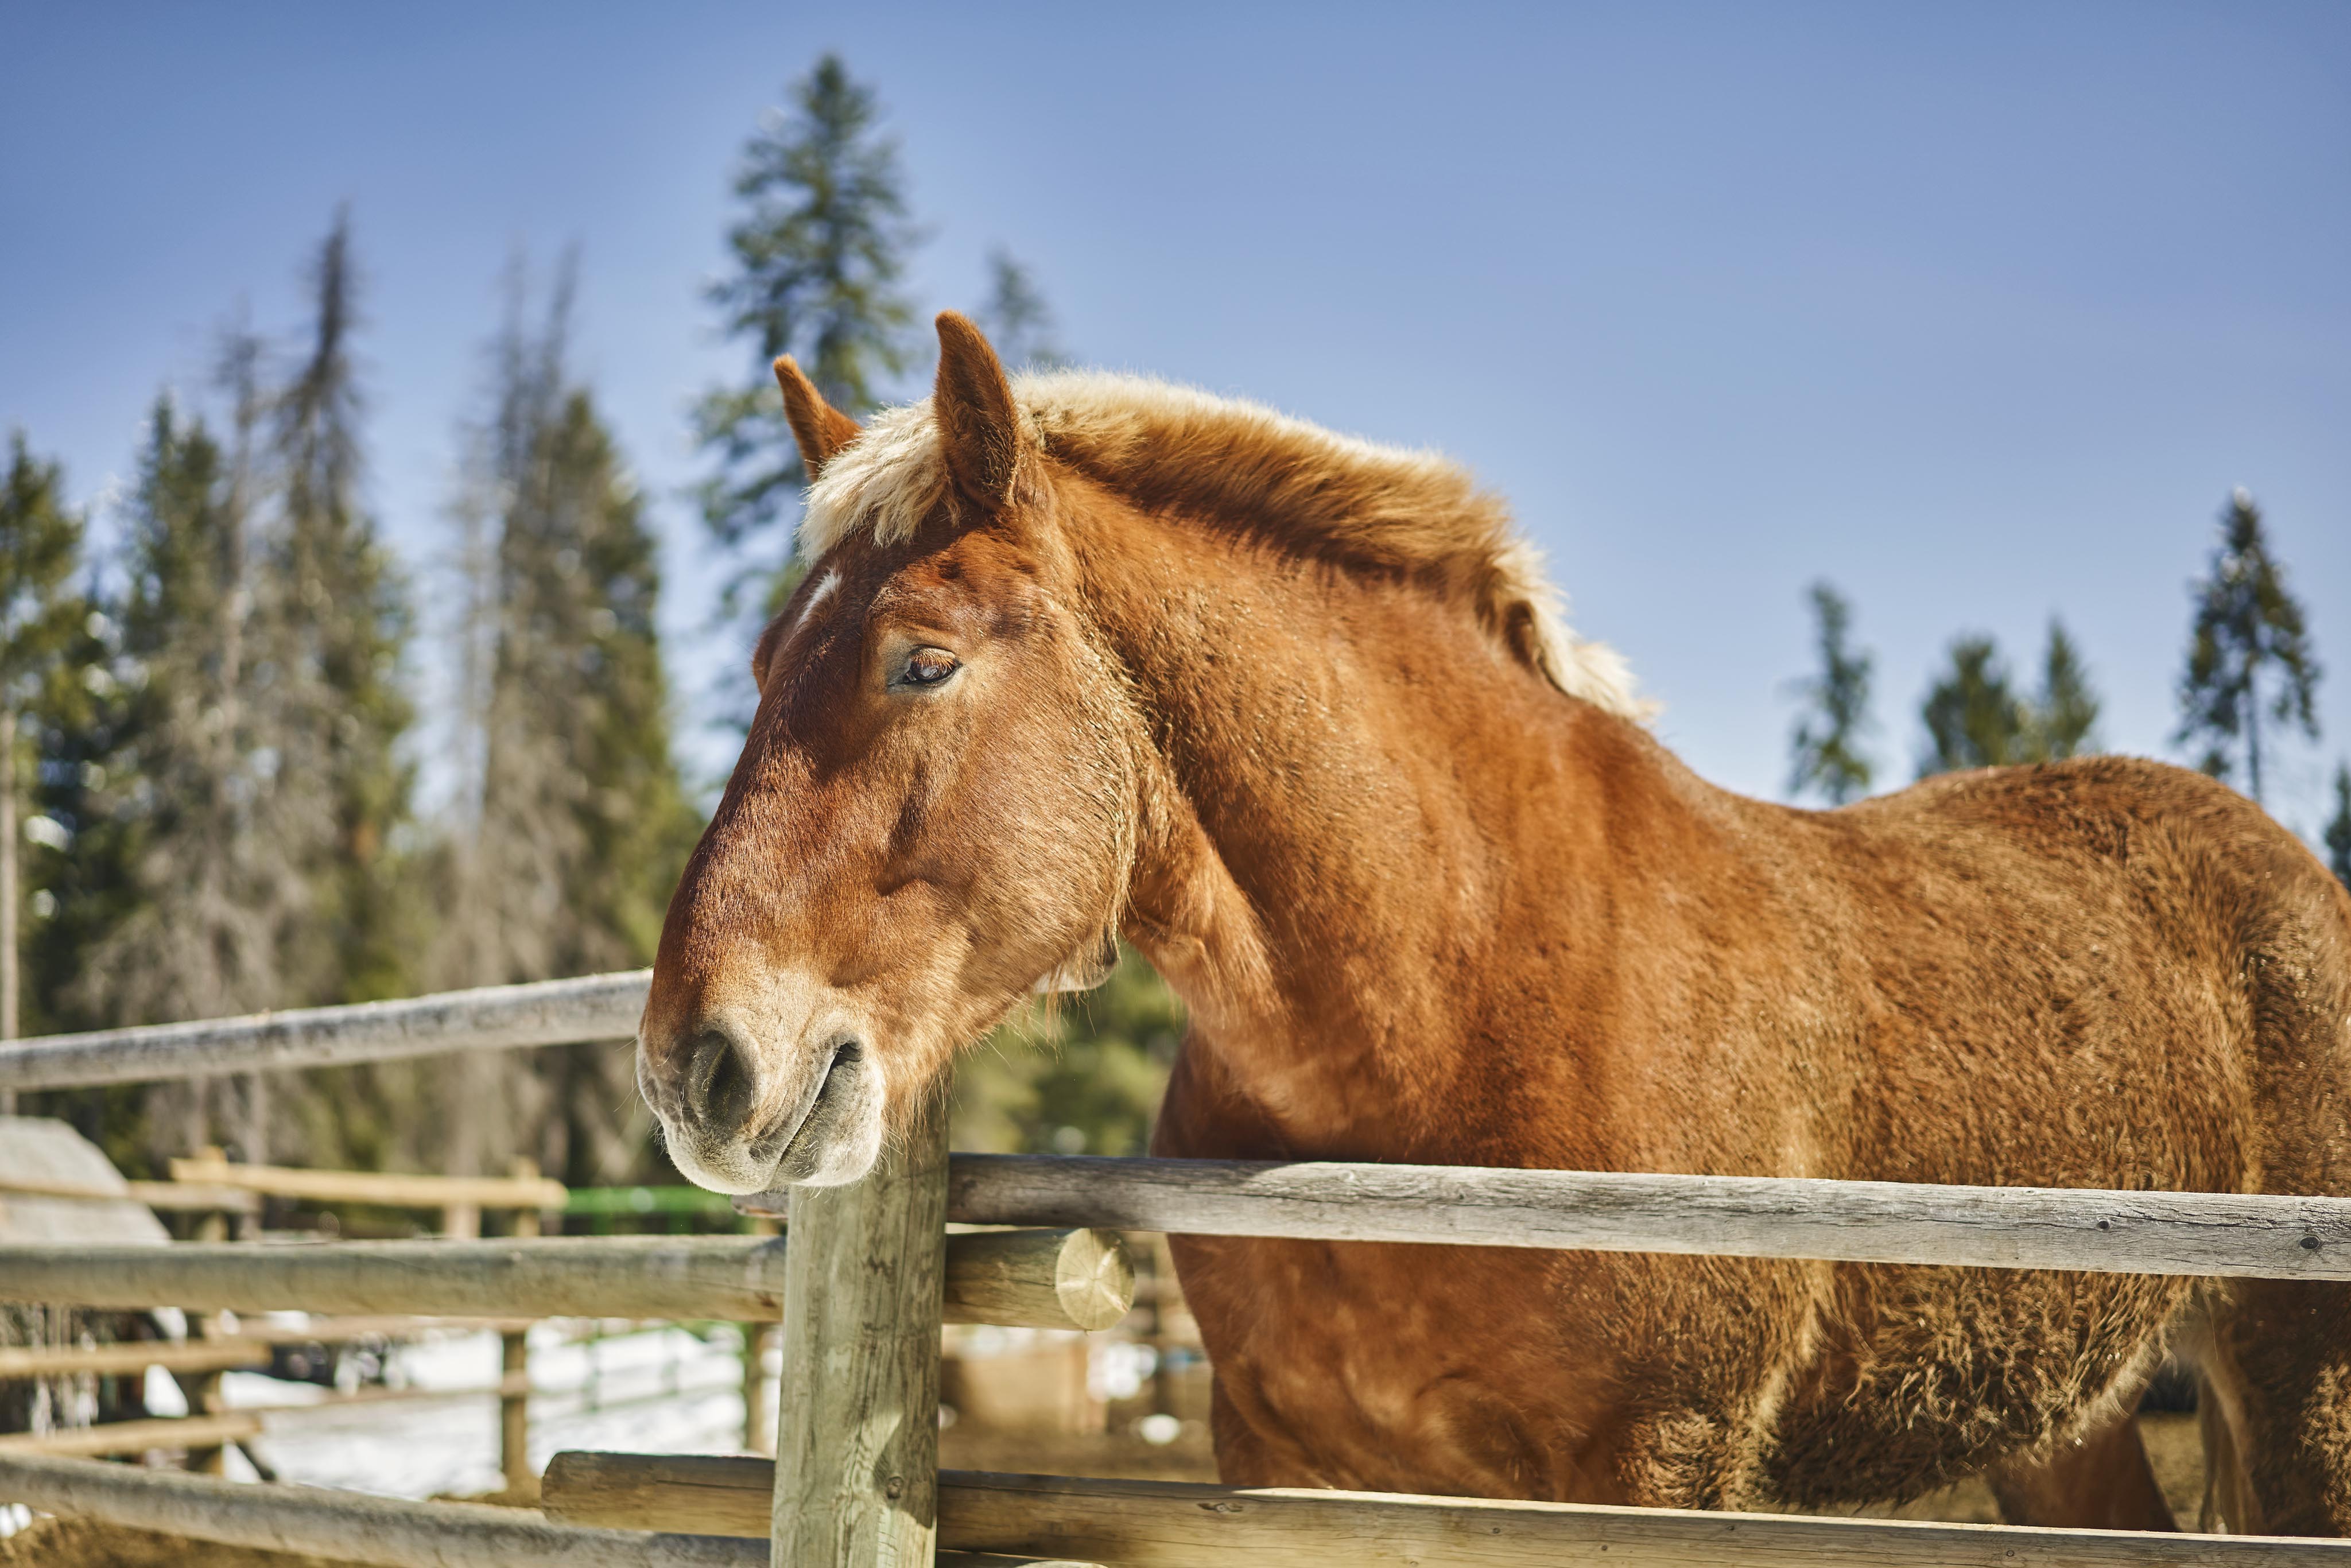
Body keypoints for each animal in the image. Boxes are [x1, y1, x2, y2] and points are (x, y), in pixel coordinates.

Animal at [636, 311, 2351, 1535]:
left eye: (922, 660)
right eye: (761, 663)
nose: (695, 1065)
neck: (1448, 1014)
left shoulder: (1653, 1467)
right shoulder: (1285, 1466)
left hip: (2297, 1382)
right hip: (2071, 1414)